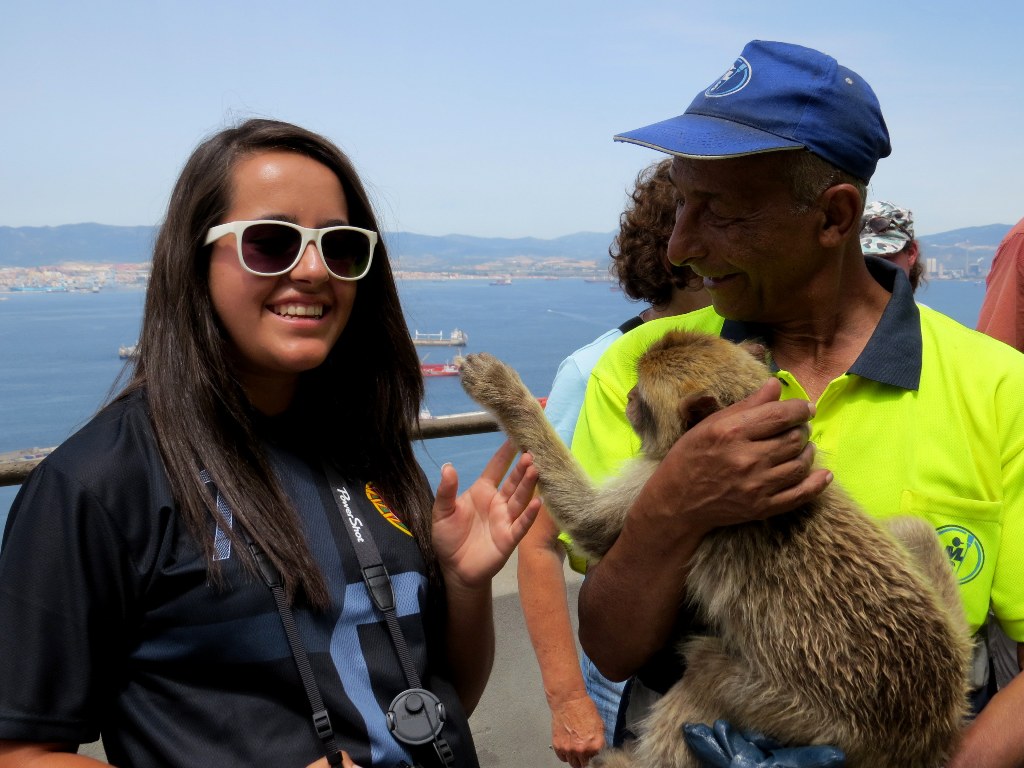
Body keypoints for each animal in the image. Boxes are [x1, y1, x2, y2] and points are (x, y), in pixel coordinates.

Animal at [460, 331, 970, 768]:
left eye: (641, 397)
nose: (626, 400)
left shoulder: (658, 477)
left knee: (706, 668)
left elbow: (589, 520)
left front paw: (503, 392)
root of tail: (932, 729)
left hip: (822, 723)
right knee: (913, 529)